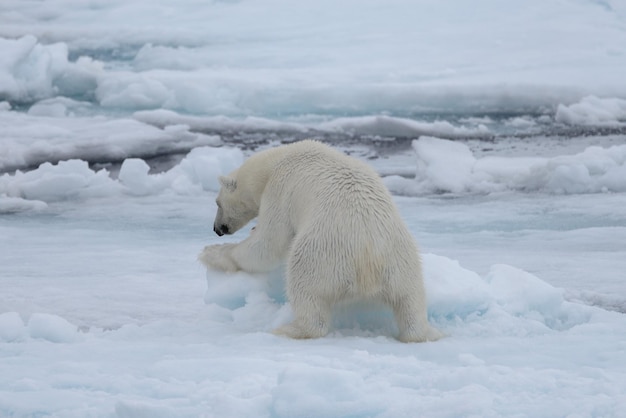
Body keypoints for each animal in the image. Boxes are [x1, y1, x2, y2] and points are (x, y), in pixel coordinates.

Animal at [199, 140, 438, 342]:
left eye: (217, 202)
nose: (217, 229)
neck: (276, 161)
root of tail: (368, 262)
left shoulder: (281, 189)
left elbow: (269, 243)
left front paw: (212, 252)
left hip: (321, 254)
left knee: (305, 289)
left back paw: (289, 328)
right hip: (403, 262)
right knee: (411, 301)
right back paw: (424, 333)